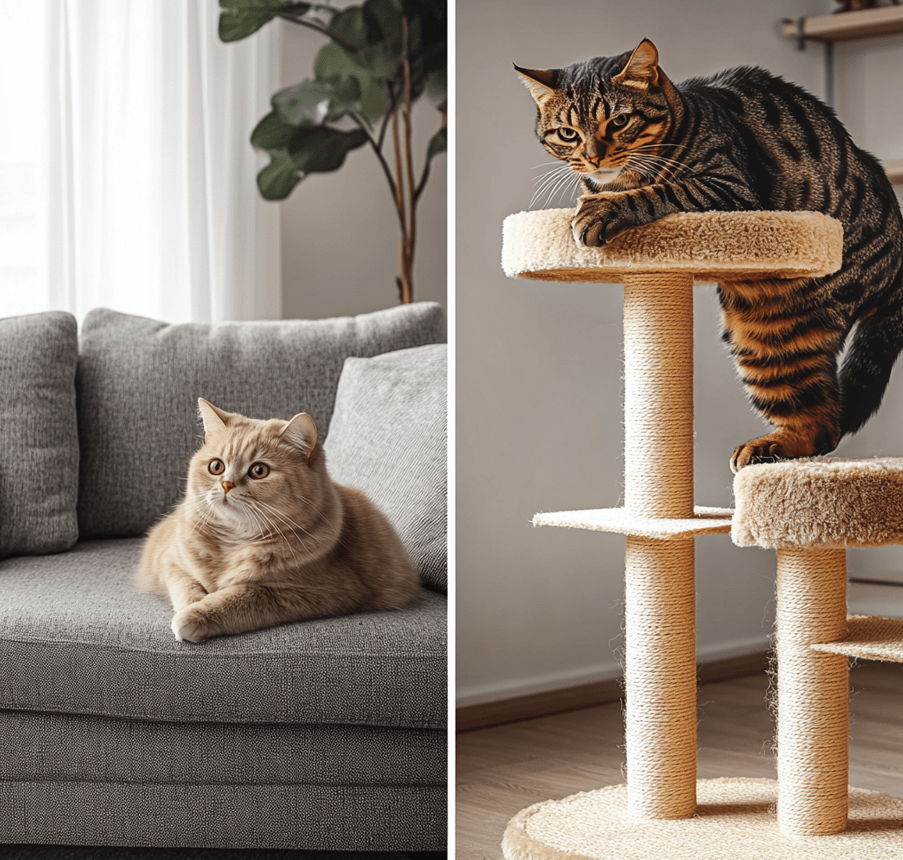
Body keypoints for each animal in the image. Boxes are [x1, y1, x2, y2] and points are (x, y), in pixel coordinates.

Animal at [139, 400, 422, 640]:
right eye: (216, 467)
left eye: (259, 470)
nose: (226, 484)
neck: (235, 541)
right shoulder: (170, 562)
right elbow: (187, 586)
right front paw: (193, 605)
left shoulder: (313, 593)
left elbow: (241, 597)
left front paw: (196, 615)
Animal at [516, 40, 903, 470]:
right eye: (568, 133)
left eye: (618, 122)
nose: (594, 156)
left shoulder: (731, 188)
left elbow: (662, 191)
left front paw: (603, 210)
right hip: (758, 339)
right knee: (821, 425)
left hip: (786, 325)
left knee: (826, 425)